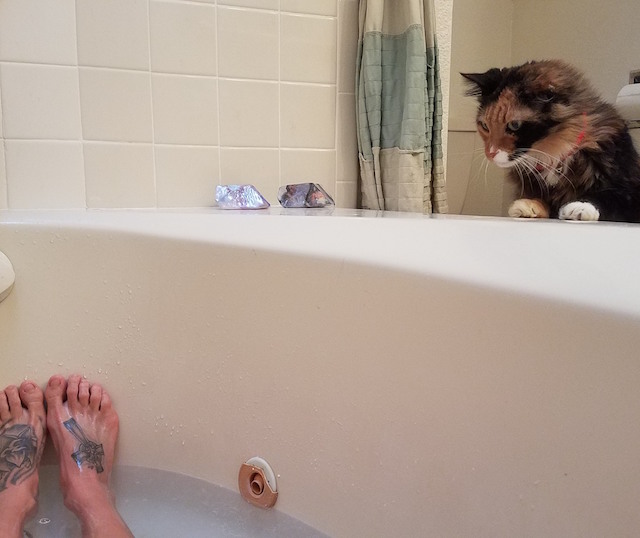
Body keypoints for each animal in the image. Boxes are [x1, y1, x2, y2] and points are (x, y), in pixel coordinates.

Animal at [461, 60, 640, 222]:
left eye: (514, 125)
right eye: (485, 125)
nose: (490, 153)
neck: (553, 154)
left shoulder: (629, 192)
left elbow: (610, 197)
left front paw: (580, 207)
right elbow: (543, 200)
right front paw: (528, 206)